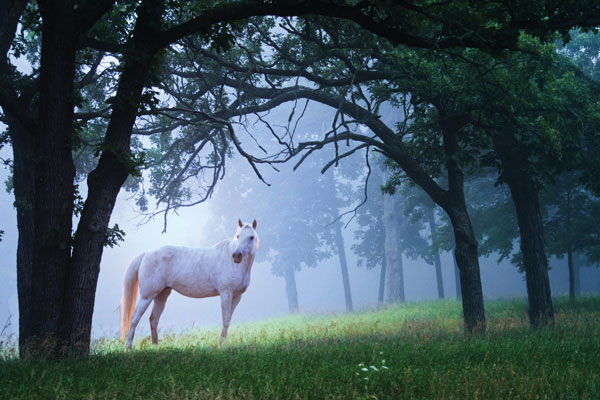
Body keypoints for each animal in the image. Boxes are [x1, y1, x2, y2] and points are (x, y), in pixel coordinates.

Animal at [119, 220, 258, 348]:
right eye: (237, 236)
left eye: (251, 237)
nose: (236, 255)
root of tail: (146, 253)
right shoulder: (226, 293)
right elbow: (225, 319)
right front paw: (220, 345)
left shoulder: (237, 296)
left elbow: (228, 319)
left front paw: (222, 343)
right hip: (147, 296)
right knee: (135, 318)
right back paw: (128, 347)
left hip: (162, 295)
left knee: (154, 319)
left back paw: (155, 345)